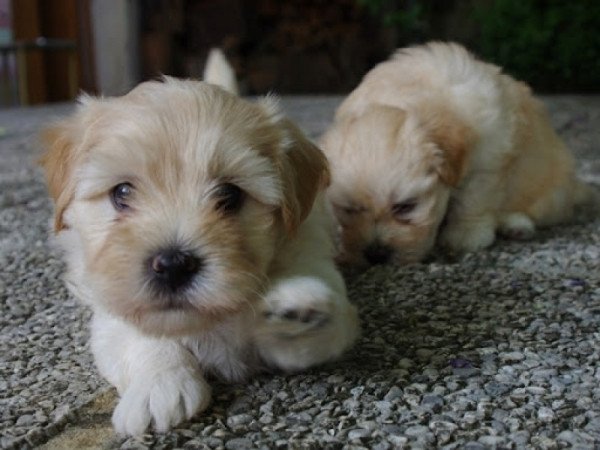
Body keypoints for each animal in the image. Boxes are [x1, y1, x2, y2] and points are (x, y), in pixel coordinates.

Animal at [39, 75, 358, 434]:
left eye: (230, 195)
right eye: (122, 192)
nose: (173, 265)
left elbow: (324, 331)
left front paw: (300, 311)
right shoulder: (110, 309)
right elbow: (139, 335)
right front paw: (159, 385)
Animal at [322, 41, 588, 268]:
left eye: (406, 206)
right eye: (350, 209)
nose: (376, 255)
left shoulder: (486, 163)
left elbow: (472, 201)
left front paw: (465, 235)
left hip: (552, 194)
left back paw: (515, 224)